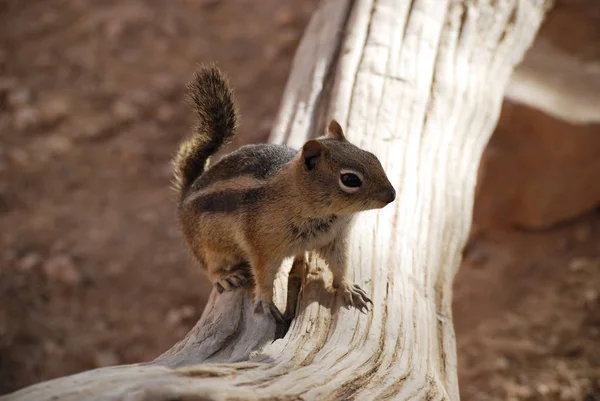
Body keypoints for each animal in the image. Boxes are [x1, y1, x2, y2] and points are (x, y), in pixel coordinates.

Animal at [173, 65, 396, 322]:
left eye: (373, 157)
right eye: (350, 179)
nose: (392, 195)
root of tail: (188, 191)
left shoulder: (335, 239)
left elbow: (340, 266)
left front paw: (348, 287)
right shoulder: (261, 246)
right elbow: (263, 276)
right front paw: (265, 302)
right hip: (208, 247)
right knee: (210, 267)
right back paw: (225, 276)